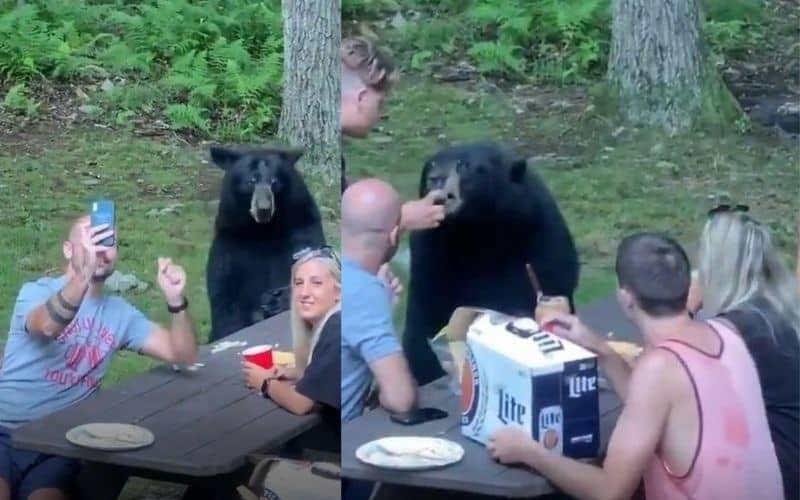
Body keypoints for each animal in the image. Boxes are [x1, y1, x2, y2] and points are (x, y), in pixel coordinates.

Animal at [205, 145, 326, 342]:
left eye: (274, 182)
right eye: (250, 181)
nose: (263, 209)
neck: (263, 231)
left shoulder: (301, 229)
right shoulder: (230, 243)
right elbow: (225, 297)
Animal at [402, 142, 580, 386]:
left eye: (465, 165)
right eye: (431, 164)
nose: (435, 178)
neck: (480, 232)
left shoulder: (541, 236)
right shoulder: (431, 256)